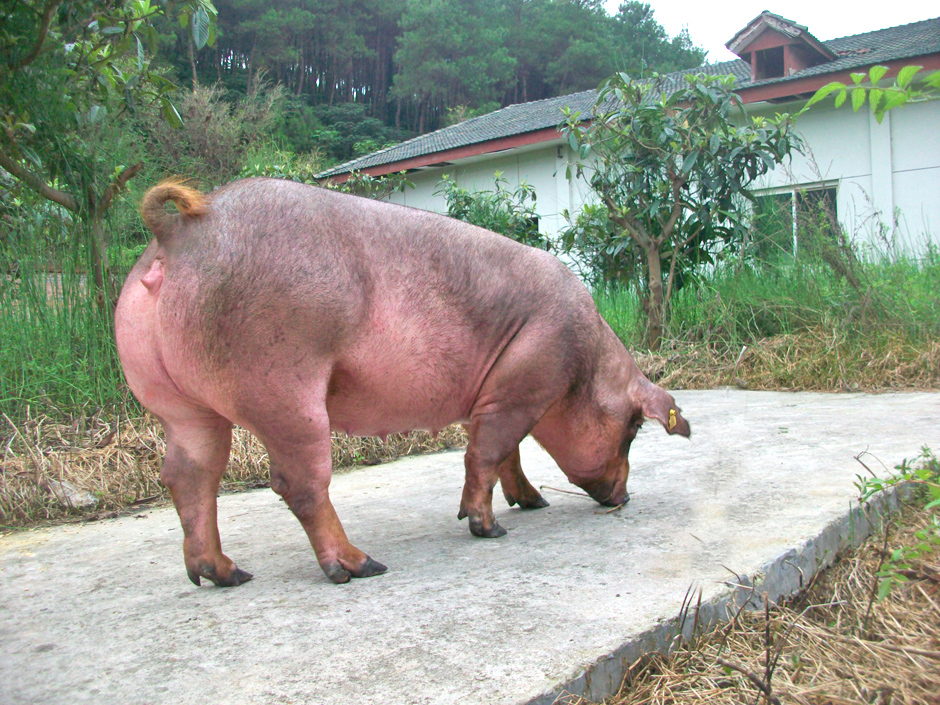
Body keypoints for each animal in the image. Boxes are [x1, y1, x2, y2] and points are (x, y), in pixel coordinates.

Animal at [115, 177, 690, 587]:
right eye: (632, 428)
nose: (624, 498)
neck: (583, 363)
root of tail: (181, 232)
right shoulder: (524, 382)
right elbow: (487, 453)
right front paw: (490, 529)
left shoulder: (491, 396)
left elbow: (506, 455)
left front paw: (534, 504)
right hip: (283, 385)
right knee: (297, 482)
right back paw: (362, 567)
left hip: (180, 405)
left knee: (189, 477)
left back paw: (226, 575)